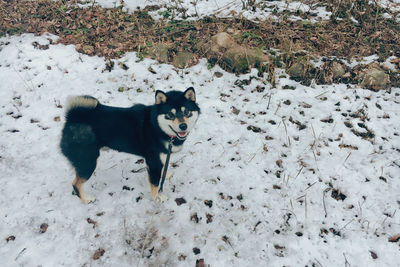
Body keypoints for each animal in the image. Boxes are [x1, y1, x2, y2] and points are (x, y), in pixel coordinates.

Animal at [59, 88, 200, 203]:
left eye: (187, 112)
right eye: (170, 114)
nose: (183, 126)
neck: (156, 126)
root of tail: (72, 117)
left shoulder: (159, 158)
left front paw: (166, 173)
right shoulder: (153, 162)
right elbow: (155, 185)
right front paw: (157, 198)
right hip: (88, 162)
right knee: (76, 184)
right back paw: (86, 199)